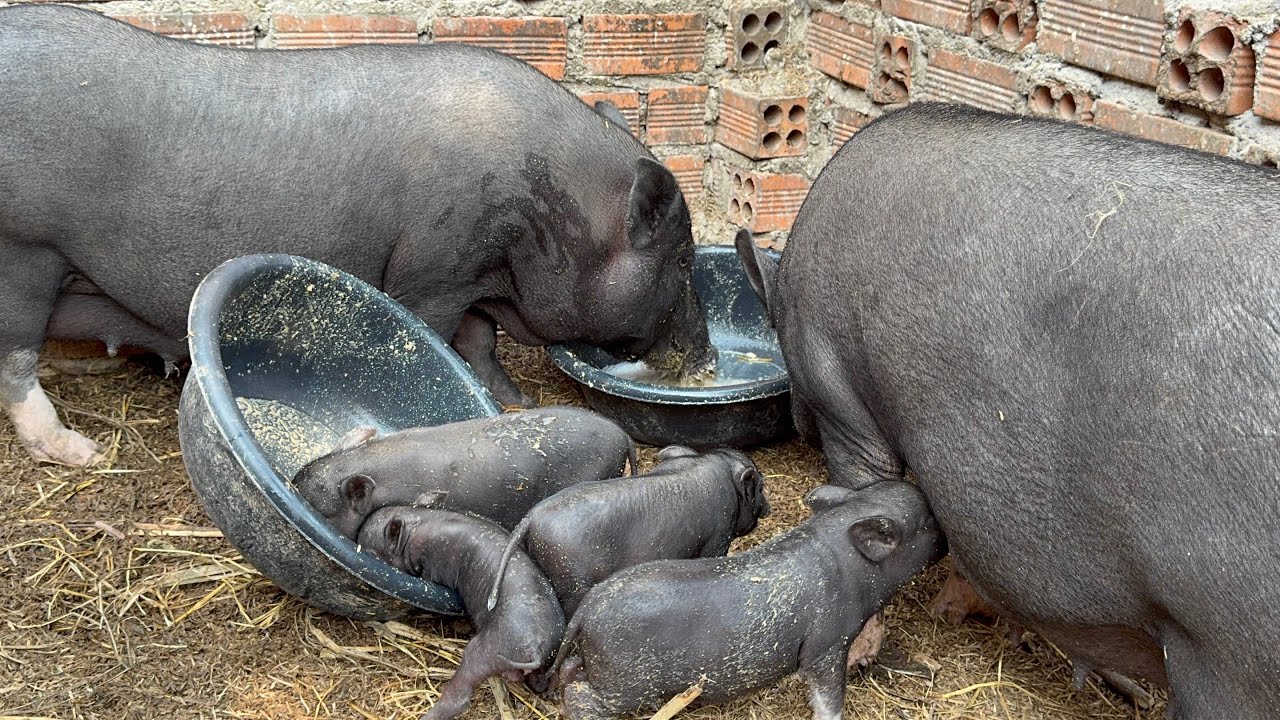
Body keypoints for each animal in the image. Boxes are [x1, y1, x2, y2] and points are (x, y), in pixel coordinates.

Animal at [0, 5, 713, 466]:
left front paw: (512, 400)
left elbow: (481, 341)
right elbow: (446, 338)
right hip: (26, 251)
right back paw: (83, 453)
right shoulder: (434, 269)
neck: (548, 211)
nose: (704, 355)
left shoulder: (477, 272)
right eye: (680, 259)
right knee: (16, 362)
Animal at [358, 507, 564, 720]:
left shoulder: (434, 565)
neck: (413, 531)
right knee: (538, 681)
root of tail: (536, 649)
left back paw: (428, 715)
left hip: (491, 646)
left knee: (464, 689)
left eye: (370, 552)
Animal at [551, 481, 945, 720]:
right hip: (625, 684)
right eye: (927, 522)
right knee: (581, 694)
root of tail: (587, 608)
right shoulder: (826, 644)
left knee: (570, 672)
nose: (946, 535)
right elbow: (828, 698)